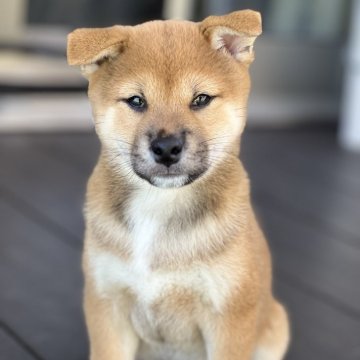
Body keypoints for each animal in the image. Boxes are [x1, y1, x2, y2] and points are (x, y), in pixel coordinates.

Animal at [67, 9, 290, 360]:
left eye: (201, 99)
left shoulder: (229, 316)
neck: (158, 205)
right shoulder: (107, 305)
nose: (167, 147)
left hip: (276, 324)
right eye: (136, 101)